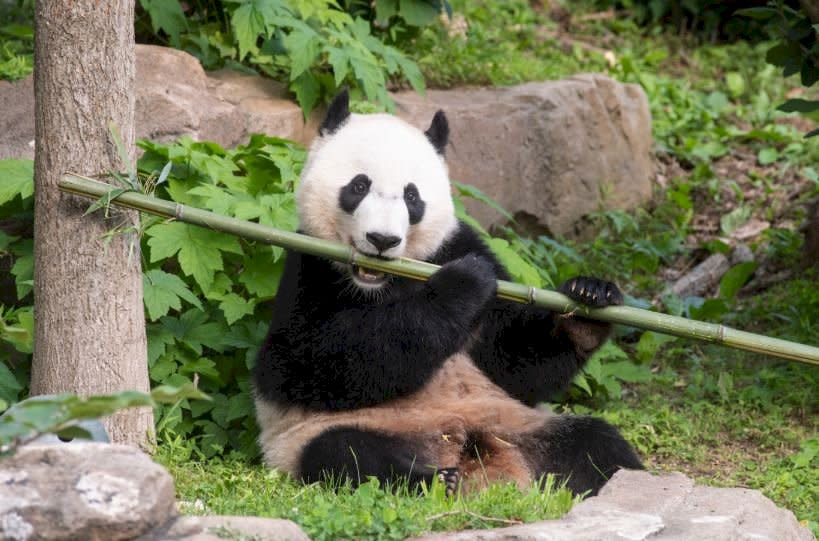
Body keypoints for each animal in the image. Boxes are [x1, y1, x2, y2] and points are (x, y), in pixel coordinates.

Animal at [253, 90, 644, 496]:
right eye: (358, 187)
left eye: (412, 197)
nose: (382, 240)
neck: (384, 283)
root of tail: (474, 457)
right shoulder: (307, 268)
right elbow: (307, 362)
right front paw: (464, 284)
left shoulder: (456, 244)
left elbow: (514, 363)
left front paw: (589, 298)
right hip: (326, 435)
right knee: (345, 454)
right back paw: (433, 479)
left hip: (521, 425)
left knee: (594, 443)